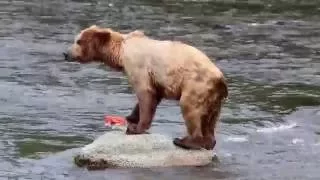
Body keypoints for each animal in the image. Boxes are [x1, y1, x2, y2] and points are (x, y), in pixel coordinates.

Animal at [64, 24, 228, 150]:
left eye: (78, 41)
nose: (66, 53)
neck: (120, 53)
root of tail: (220, 79)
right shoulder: (157, 80)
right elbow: (153, 96)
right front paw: (130, 118)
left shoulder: (139, 66)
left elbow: (145, 94)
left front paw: (135, 128)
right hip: (213, 97)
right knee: (210, 120)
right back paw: (208, 142)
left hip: (196, 84)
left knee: (189, 108)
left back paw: (184, 141)